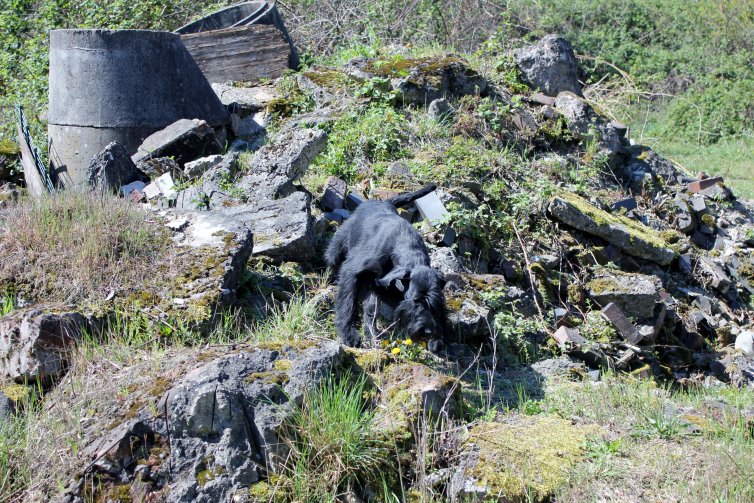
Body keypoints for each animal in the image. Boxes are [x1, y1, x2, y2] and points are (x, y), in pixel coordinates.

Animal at [324, 183, 446, 348]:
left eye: (435, 302)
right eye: (416, 300)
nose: (428, 331)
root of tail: (383, 202)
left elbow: (370, 308)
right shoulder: (351, 272)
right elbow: (347, 303)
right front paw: (349, 334)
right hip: (338, 247)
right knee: (332, 259)